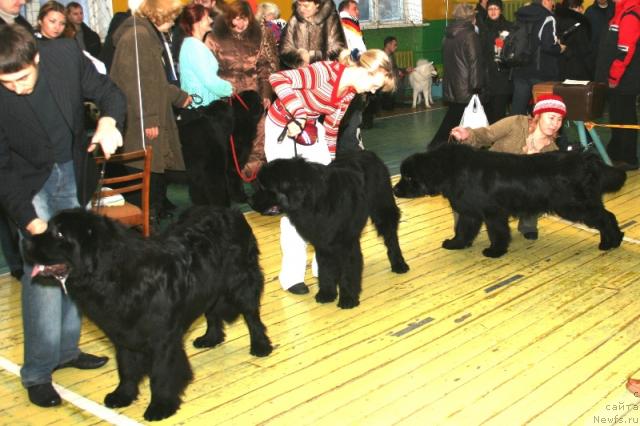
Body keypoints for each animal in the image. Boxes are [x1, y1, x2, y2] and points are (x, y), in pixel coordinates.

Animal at [22, 206, 272, 420]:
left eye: (60, 234)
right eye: (47, 227)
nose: (25, 241)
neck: (114, 275)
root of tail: (229, 209)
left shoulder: (163, 337)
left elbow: (161, 373)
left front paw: (160, 406)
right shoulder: (122, 332)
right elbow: (126, 367)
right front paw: (123, 395)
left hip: (242, 280)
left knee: (252, 315)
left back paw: (260, 346)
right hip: (209, 283)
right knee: (211, 311)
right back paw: (210, 338)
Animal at [250, 151, 410, 310]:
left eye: (264, 187)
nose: (250, 201)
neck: (313, 202)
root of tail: (368, 153)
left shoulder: (346, 243)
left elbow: (348, 270)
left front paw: (348, 298)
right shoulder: (323, 242)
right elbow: (325, 268)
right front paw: (327, 294)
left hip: (383, 210)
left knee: (391, 238)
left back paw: (399, 264)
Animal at [392, 143, 628, 258]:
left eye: (409, 177)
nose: (394, 190)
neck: (451, 170)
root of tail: (587, 159)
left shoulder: (493, 212)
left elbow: (497, 233)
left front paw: (495, 252)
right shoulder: (470, 212)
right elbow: (463, 231)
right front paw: (456, 244)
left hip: (574, 205)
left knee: (606, 218)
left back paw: (612, 242)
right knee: (607, 216)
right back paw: (611, 241)